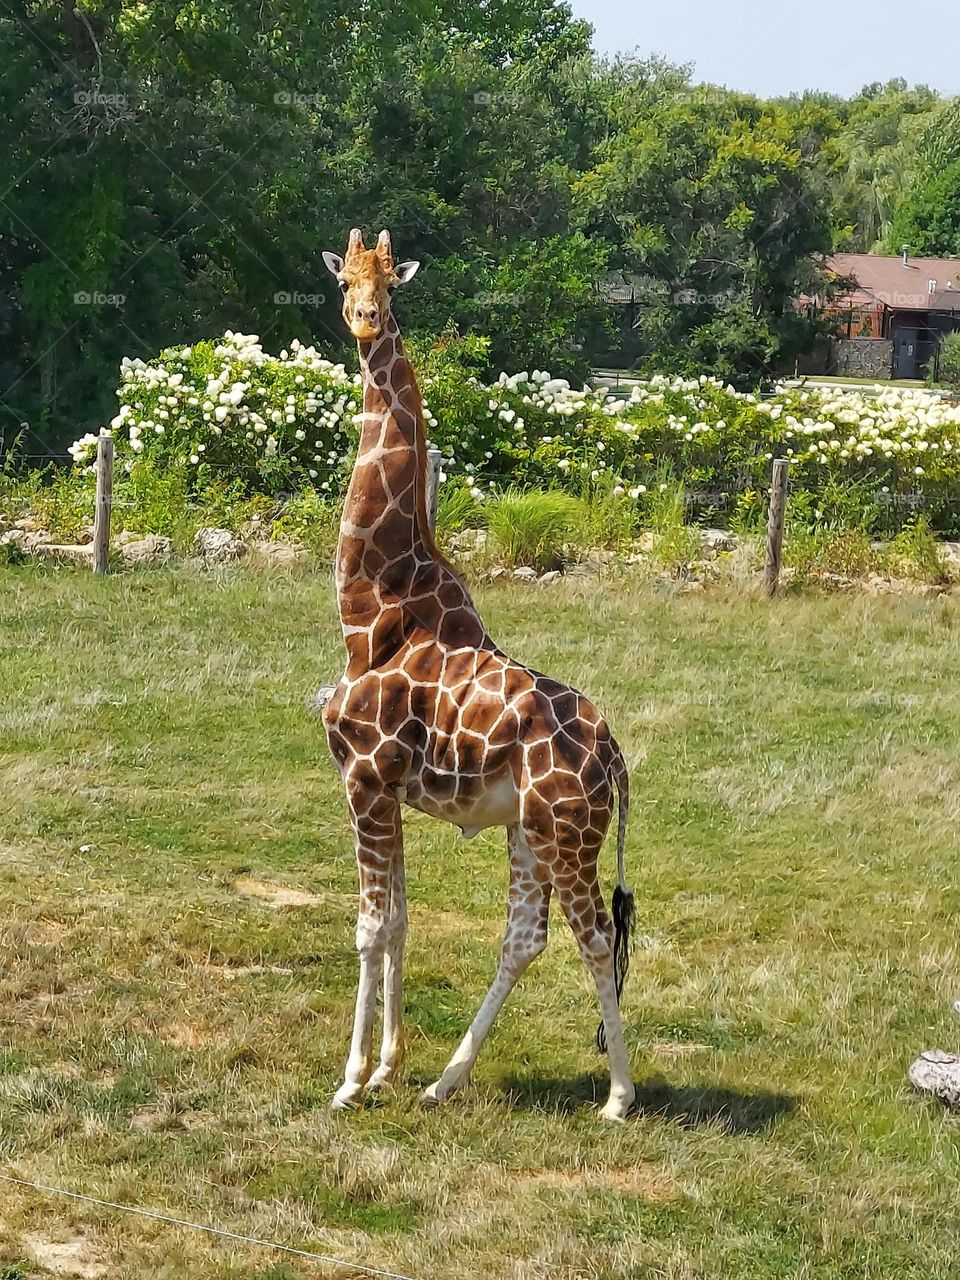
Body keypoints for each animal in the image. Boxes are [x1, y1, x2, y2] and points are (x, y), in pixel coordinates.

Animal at [318, 228, 636, 1122]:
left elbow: (367, 925)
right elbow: (398, 921)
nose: (365, 319)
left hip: (568, 833)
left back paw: (619, 1096)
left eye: (392, 284)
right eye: (346, 280)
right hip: (530, 830)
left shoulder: (362, 775)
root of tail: (618, 762)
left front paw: (348, 1081)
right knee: (526, 936)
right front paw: (388, 1068)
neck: (371, 608)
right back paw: (442, 1080)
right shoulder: (388, 788)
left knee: (593, 935)